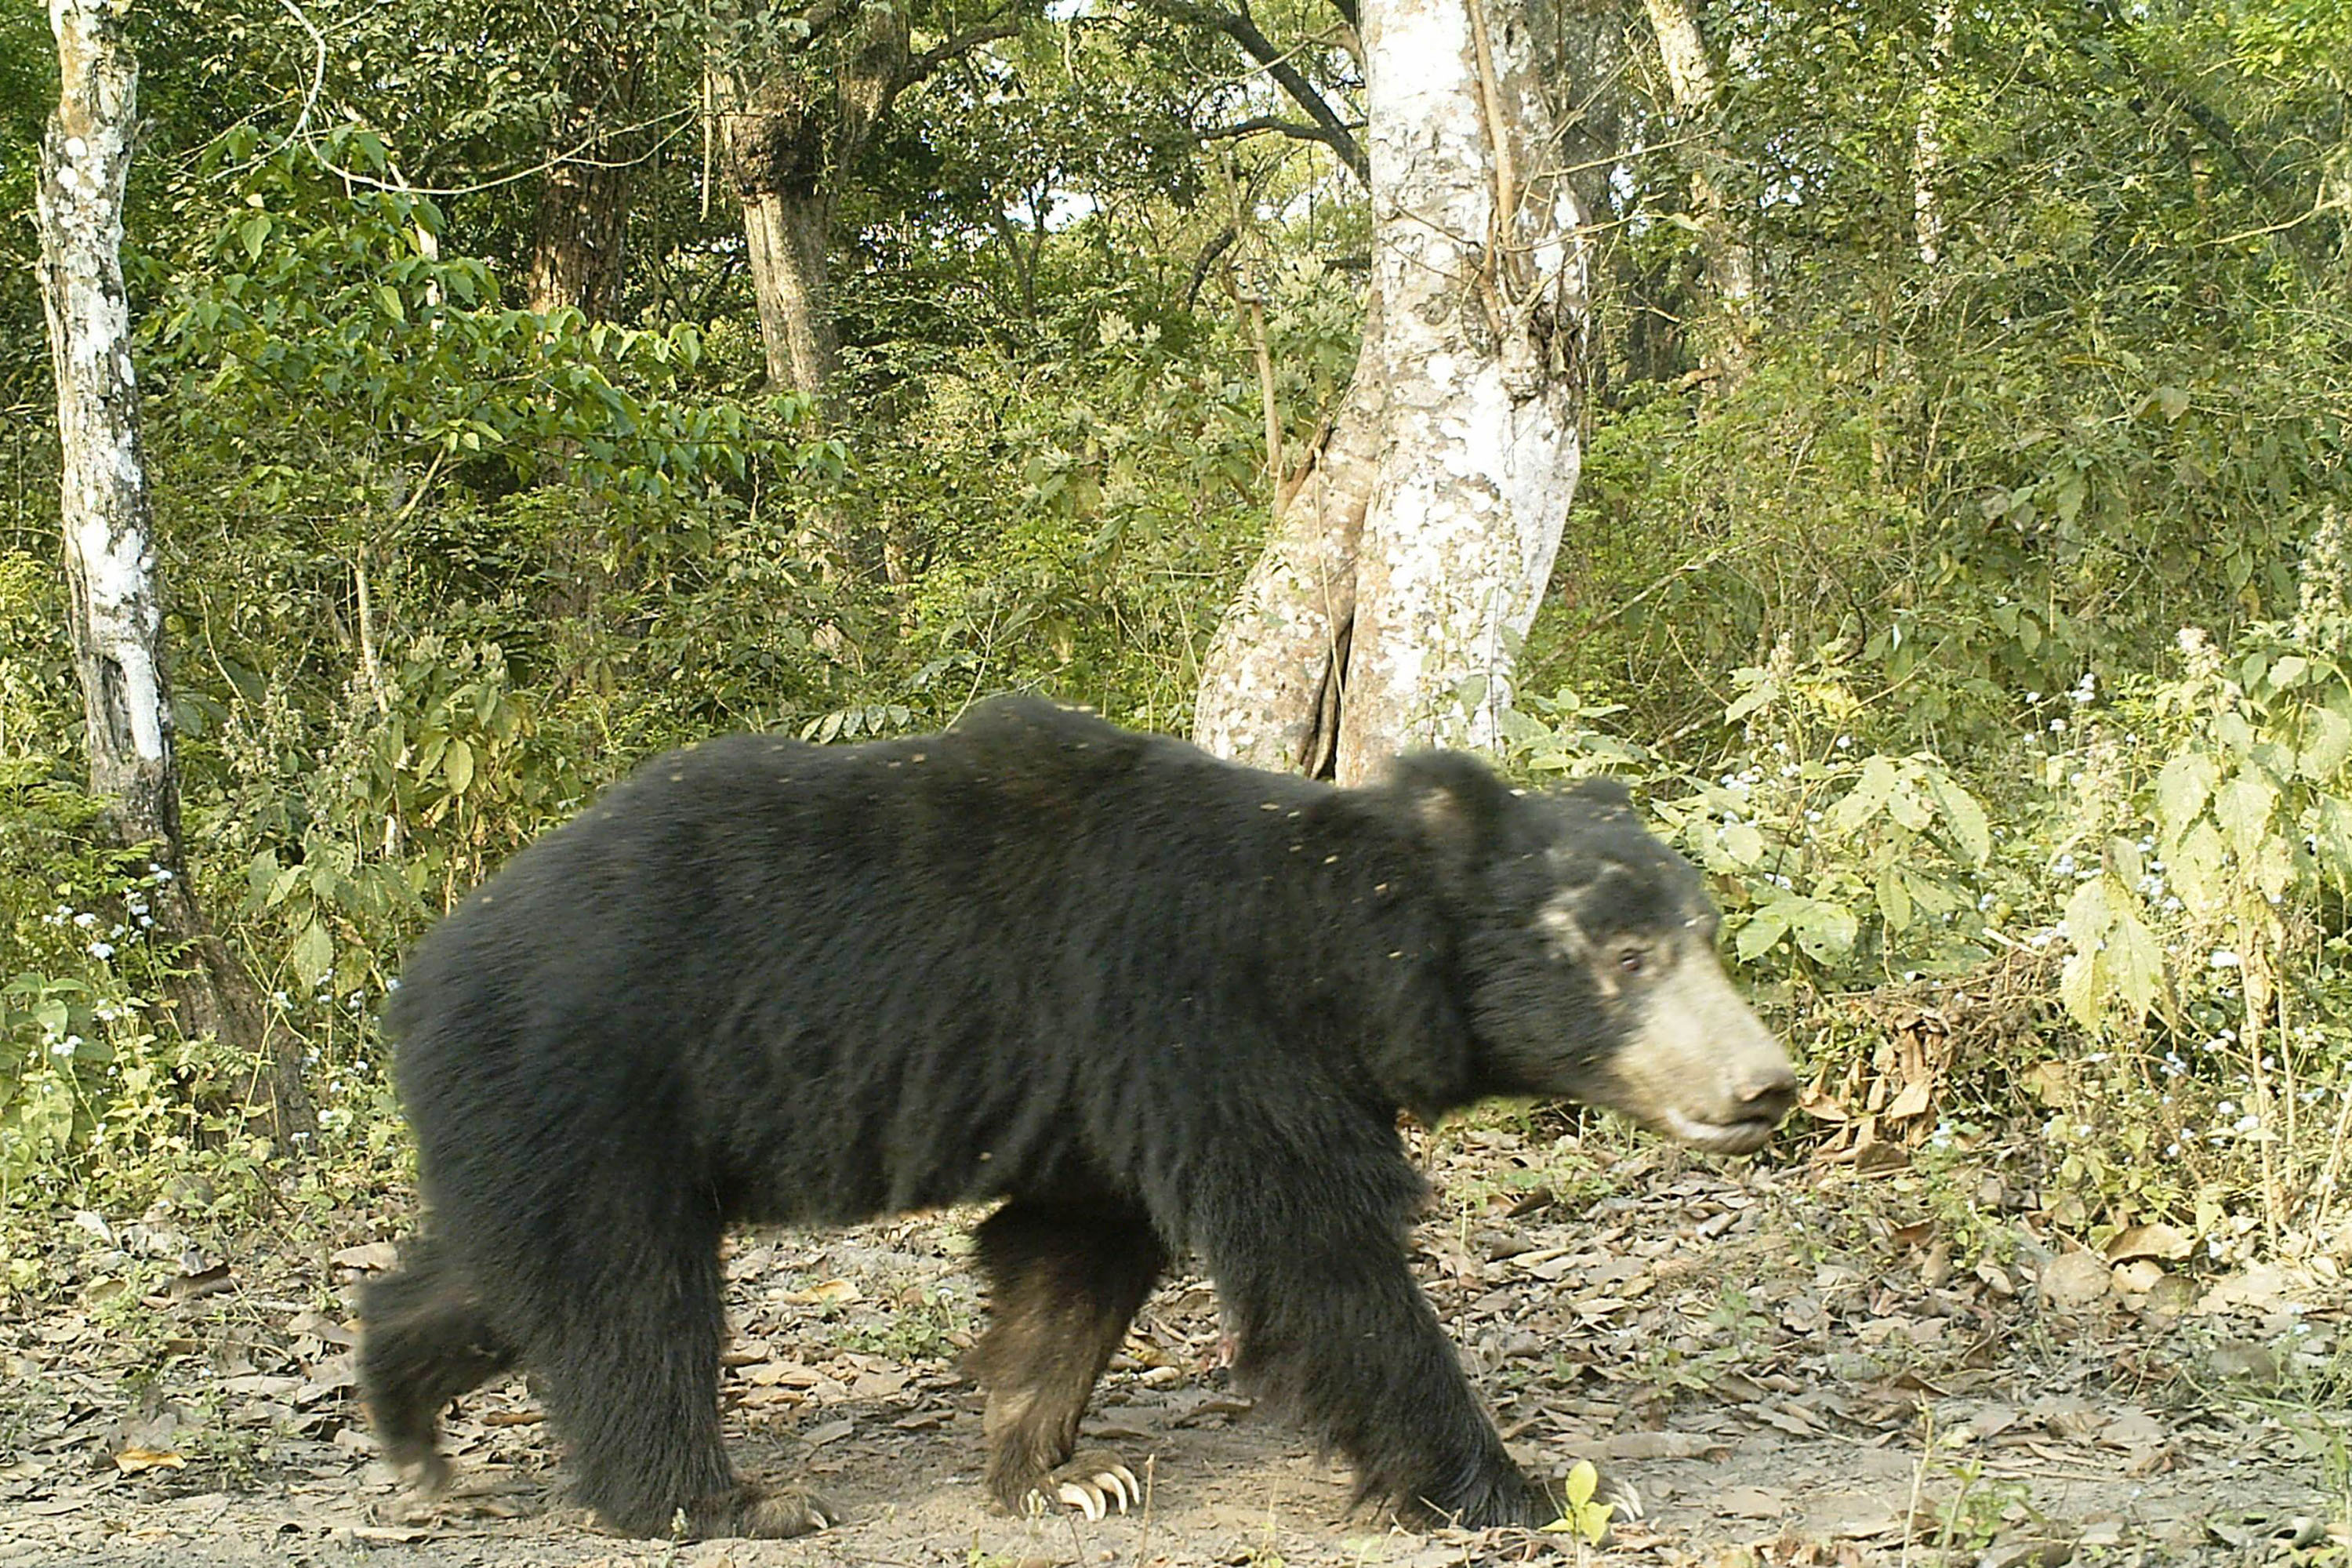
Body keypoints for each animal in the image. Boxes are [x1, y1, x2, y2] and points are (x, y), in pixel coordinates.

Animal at [358, 700, 1788, 1542]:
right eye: (1625, 957)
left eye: (1705, 939)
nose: (1767, 1088)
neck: (1327, 934)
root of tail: (415, 978)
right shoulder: (1200, 1020)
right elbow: (1320, 1258)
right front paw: (1519, 1486)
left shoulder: (1111, 1088)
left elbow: (1072, 1260)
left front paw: (1059, 1471)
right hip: (596, 1078)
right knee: (624, 1302)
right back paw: (720, 1499)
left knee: (505, 1280)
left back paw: (409, 1425)